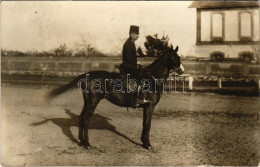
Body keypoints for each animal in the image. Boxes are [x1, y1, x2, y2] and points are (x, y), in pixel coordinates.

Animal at [47, 45, 184, 149]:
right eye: (173, 57)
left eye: (179, 57)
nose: (182, 70)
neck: (152, 78)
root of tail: (88, 74)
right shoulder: (149, 106)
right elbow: (147, 125)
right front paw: (147, 144)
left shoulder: (146, 106)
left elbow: (145, 124)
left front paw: (144, 142)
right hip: (93, 102)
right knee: (86, 119)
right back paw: (87, 144)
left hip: (87, 102)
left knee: (81, 118)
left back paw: (81, 141)